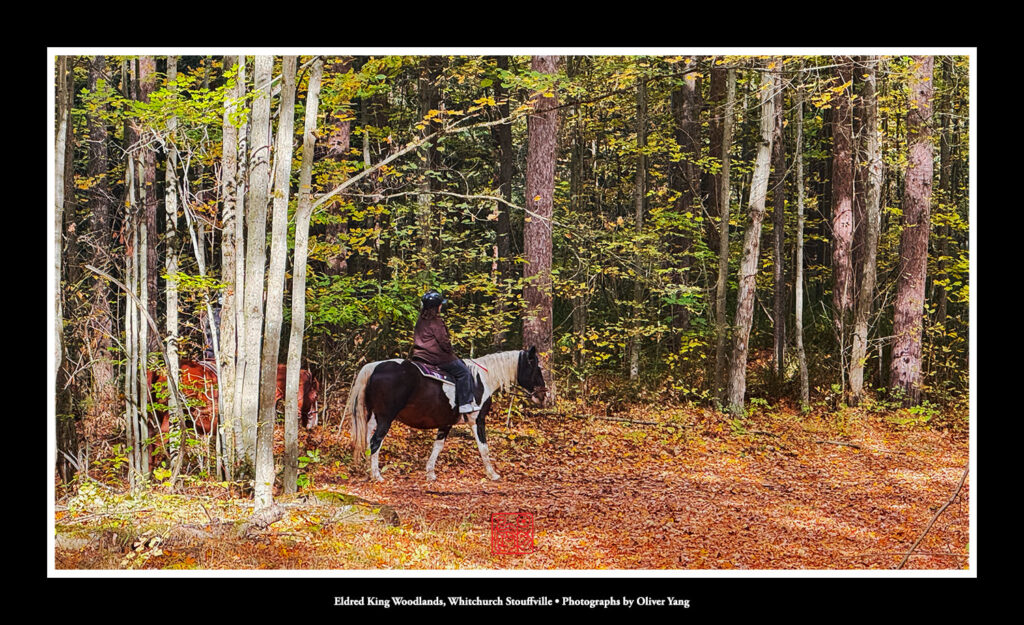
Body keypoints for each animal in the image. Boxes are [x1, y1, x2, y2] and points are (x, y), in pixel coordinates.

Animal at [347, 347, 547, 482]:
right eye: (537, 368)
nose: (543, 395)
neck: (481, 380)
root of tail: (374, 366)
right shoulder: (478, 420)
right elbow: (483, 447)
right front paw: (493, 474)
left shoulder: (446, 422)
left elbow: (438, 446)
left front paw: (430, 473)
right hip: (385, 418)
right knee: (376, 442)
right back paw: (377, 475)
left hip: (374, 418)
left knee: (368, 441)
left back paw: (368, 470)